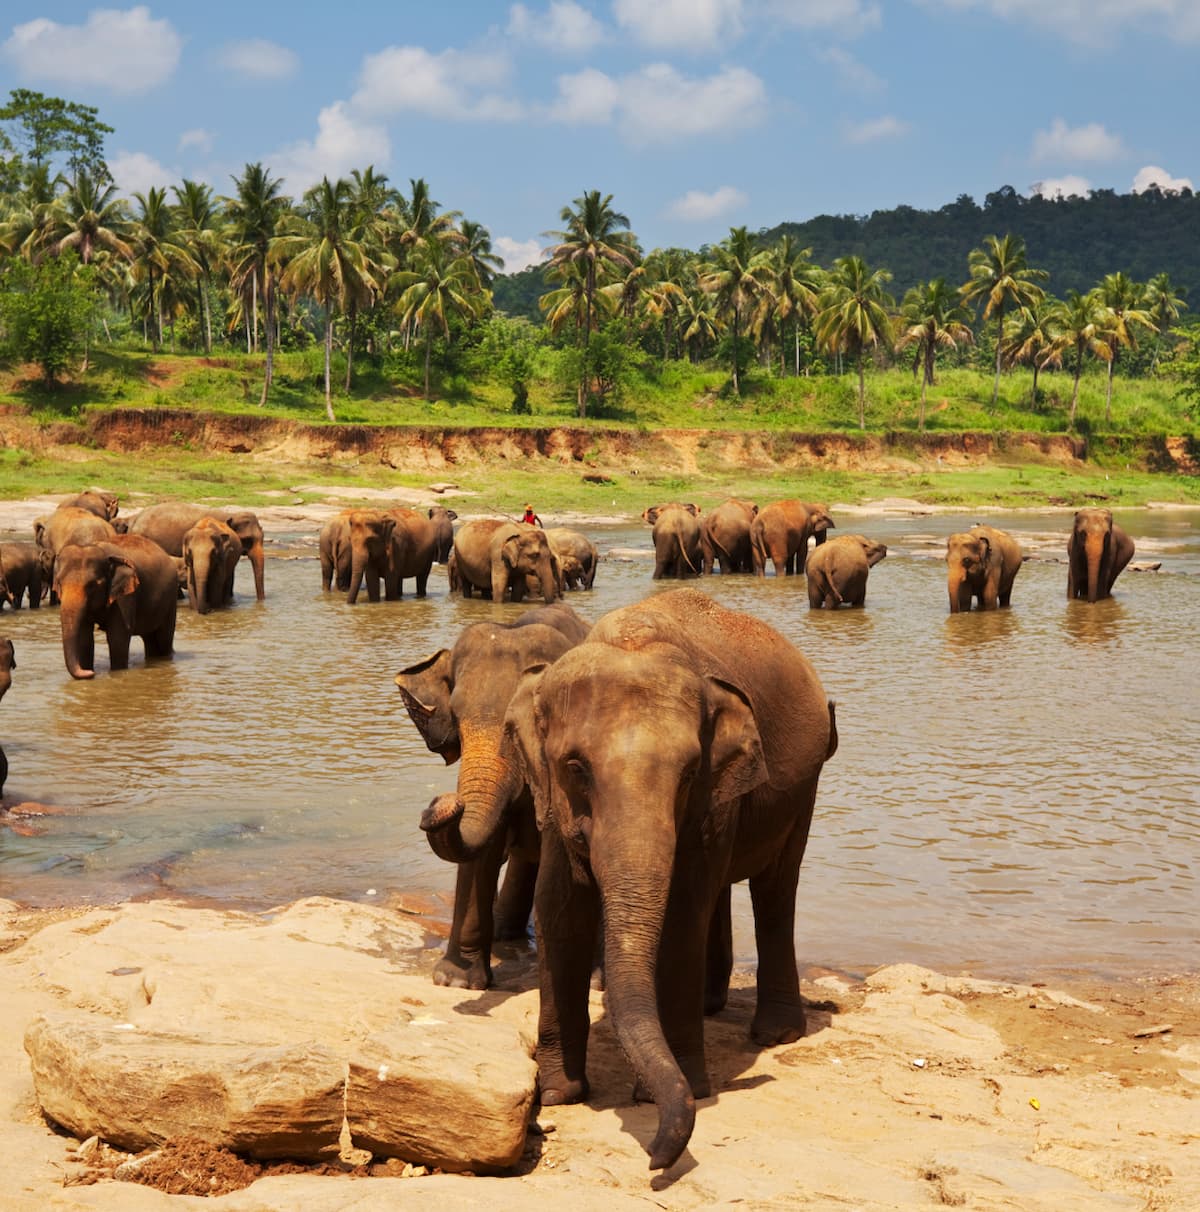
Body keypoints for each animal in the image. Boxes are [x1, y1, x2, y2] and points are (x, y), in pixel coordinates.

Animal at [53, 534, 179, 679]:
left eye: (92, 585)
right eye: (59, 583)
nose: (90, 673)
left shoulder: (125, 597)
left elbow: (118, 638)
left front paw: (116, 672)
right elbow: (84, 639)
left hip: (171, 598)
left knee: (164, 638)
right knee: (150, 639)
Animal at [396, 602, 592, 989]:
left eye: (519, 726)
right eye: (455, 717)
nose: (441, 801)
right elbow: (480, 854)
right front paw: (455, 981)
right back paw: (505, 935)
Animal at [501, 588, 837, 1171]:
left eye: (688, 773)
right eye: (575, 768)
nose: (656, 1158)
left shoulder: (713, 797)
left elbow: (683, 913)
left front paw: (687, 1088)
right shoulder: (553, 803)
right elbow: (560, 910)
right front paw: (560, 1092)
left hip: (805, 786)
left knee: (776, 889)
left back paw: (775, 1033)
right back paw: (711, 1007)